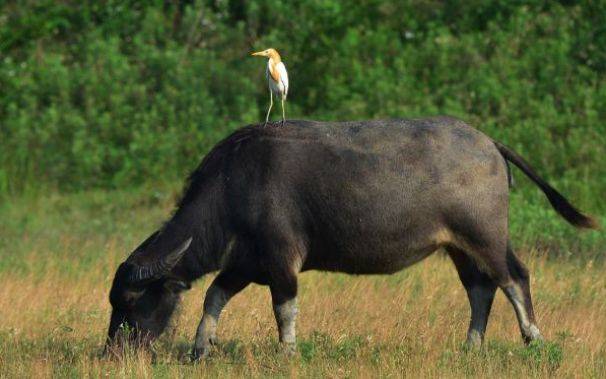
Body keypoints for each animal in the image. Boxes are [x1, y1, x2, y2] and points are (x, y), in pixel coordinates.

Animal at [105, 118, 600, 360]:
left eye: (131, 302)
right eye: (114, 303)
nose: (113, 351)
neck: (235, 185)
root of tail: (489, 143)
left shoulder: (281, 260)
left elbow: (284, 308)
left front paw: (288, 353)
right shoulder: (245, 262)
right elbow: (214, 295)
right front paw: (199, 348)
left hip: (485, 235)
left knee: (514, 277)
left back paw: (534, 339)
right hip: (459, 247)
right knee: (480, 289)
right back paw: (470, 347)